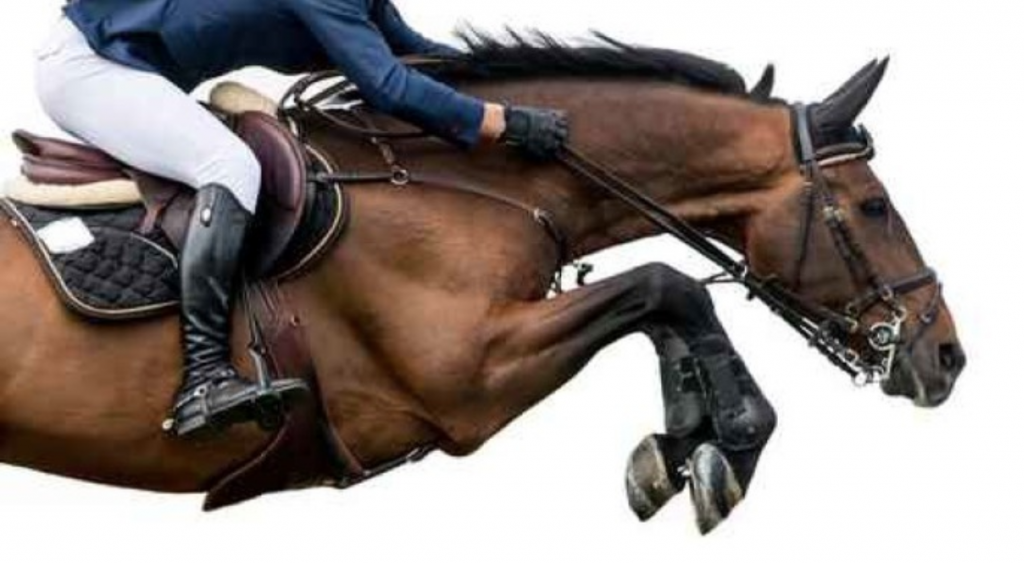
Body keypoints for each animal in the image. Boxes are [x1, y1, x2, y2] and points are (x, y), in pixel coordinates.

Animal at [0, 36, 964, 533]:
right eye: (874, 206)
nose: (945, 355)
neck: (465, 181)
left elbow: (660, 303)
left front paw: (685, 443)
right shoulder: (466, 378)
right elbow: (667, 285)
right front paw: (729, 445)